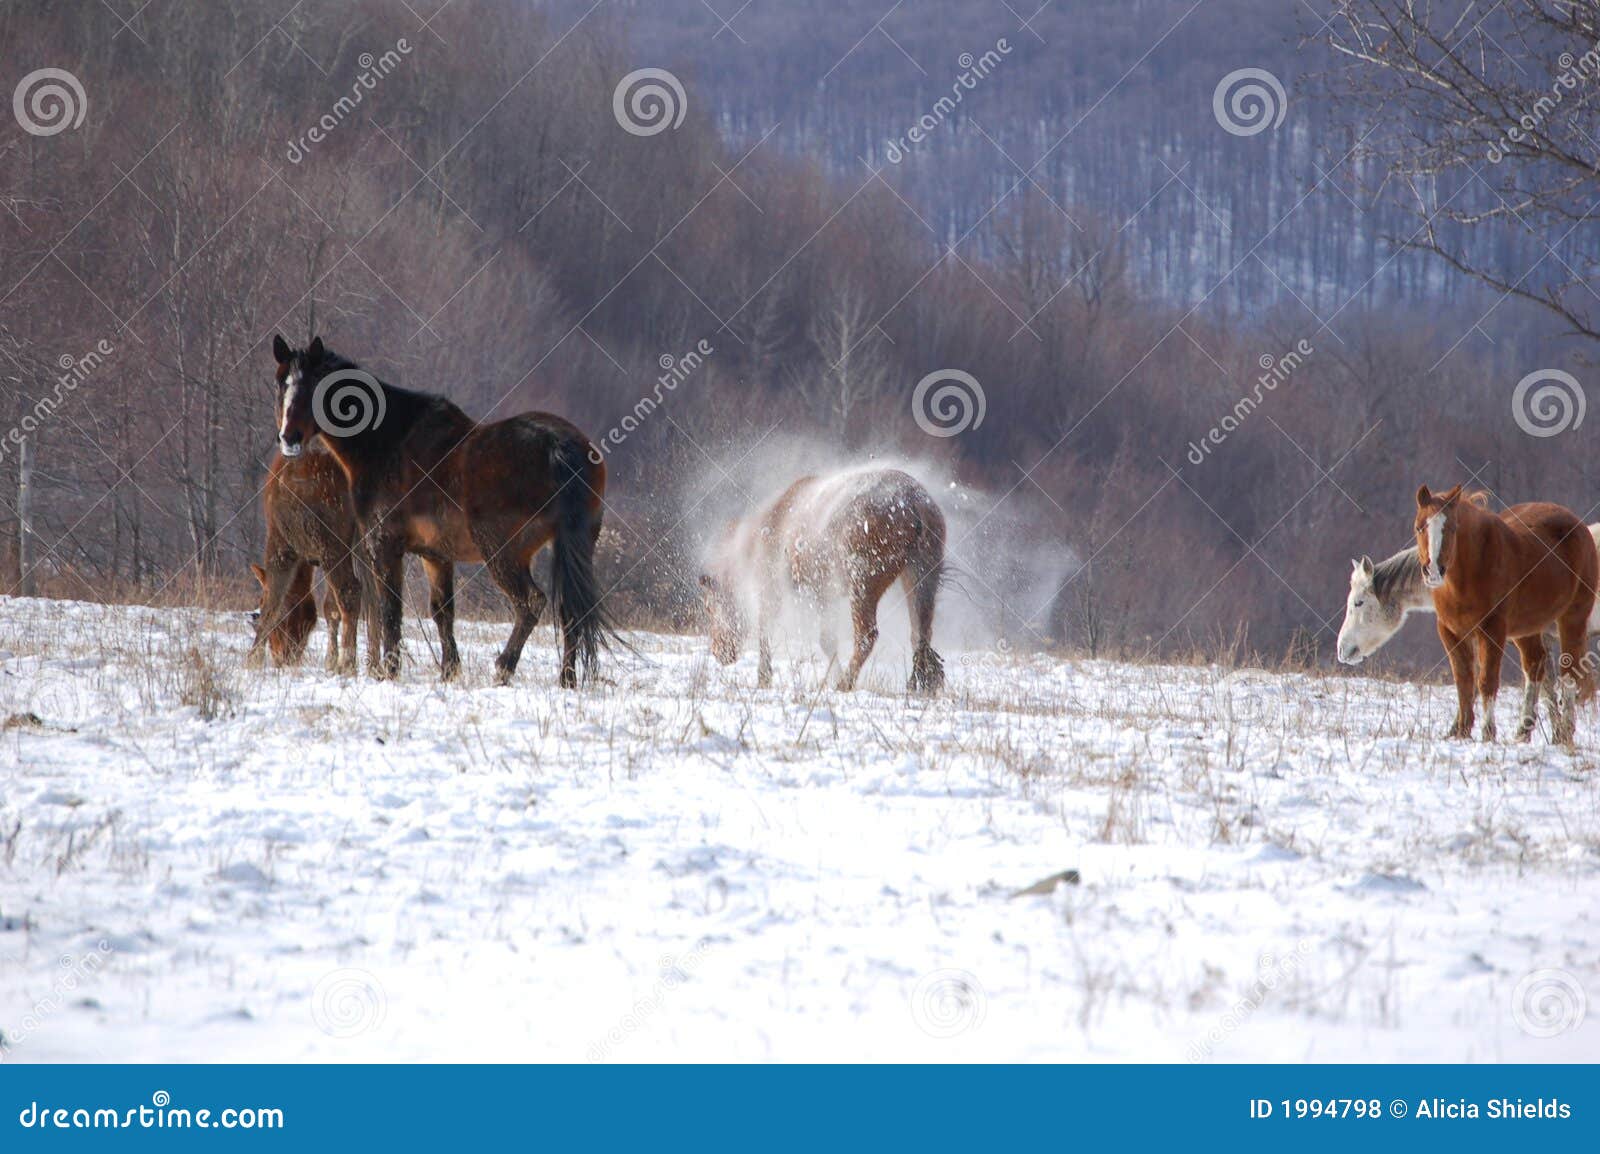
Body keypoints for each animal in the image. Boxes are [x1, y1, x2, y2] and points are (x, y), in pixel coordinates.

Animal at [246, 444, 363, 673]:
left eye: (259, 602)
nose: (282, 657)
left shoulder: (282, 540)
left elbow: (274, 601)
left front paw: (253, 658)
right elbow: (330, 607)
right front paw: (330, 660)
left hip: (329, 538)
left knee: (350, 590)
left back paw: (348, 663)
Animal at [271, 335, 610, 688]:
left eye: (314, 386)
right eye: (280, 383)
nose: (289, 438)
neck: (388, 442)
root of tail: (559, 447)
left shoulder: (384, 546)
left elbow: (390, 609)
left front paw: (390, 671)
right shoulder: (435, 555)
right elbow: (441, 611)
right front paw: (449, 670)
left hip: (503, 552)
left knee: (530, 602)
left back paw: (504, 667)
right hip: (573, 546)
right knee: (570, 611)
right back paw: (567, 679)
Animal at [699, 467, 946, 693]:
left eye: (710, 607)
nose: (719, 652)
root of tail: (915, 504)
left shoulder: (771, 588)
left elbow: (766, 630)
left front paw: (764, 678)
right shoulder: (825, 594)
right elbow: (827, 640)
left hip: (863, 584)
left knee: (867, 634)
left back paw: (845, 684)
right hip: (919, 576)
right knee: (920, 633)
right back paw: (919, 685)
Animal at [1414, 484, 1598, 743]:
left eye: (1451, 527)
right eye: (1419, 526)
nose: (1432, 571)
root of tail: (1580, 526)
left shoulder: (1492, 630)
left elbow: (1486, 681)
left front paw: (1487, 733)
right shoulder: (1451, 632)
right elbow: (1463, 680)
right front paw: (1461, 731)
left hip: (1573, 618)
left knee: (1569, 672)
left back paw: (1564, 732)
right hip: (1528, 628)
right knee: (1535, 665)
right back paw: (1523, 730)